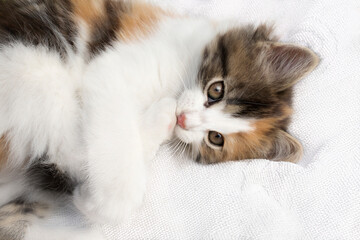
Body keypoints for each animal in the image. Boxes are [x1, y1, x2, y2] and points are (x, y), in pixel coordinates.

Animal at [0, 0, 318, 234]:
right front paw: (104, 204)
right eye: (216, 90)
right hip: (37, 65)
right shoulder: (111, 70)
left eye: (215, 138)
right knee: (63, 146)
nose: (185, 119)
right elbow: (117, 145)